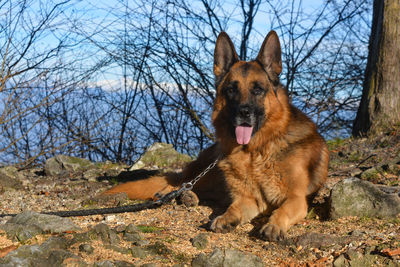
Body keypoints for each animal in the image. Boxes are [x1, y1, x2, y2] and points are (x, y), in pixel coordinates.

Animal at [103, 30, 328, 242]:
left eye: (258, 89)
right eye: (231, 90)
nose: (243, 113)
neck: (256, 151)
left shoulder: (296, 199)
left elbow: (283, 210)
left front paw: (274, 225)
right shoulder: (248, 198)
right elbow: (234, 207)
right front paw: (226, 217)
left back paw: (187, 197)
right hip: (209, 172)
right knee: (182, 183)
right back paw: (174, 194)